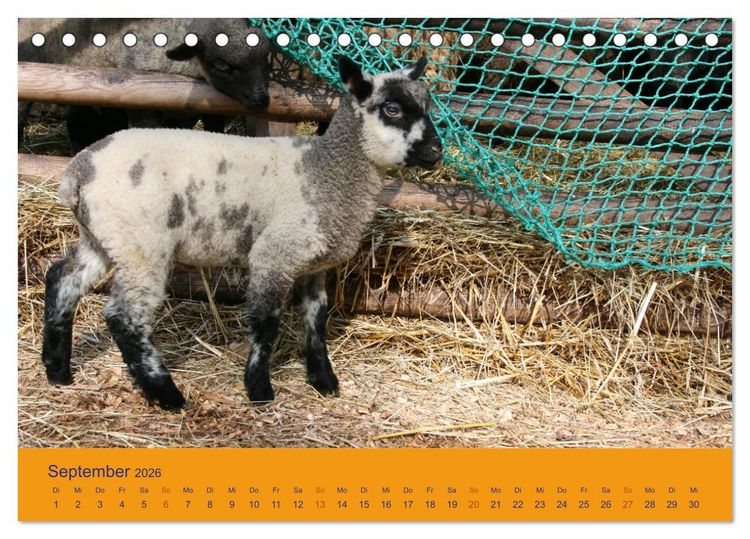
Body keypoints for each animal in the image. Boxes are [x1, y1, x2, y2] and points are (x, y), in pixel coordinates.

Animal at [42, 55, 443, 410]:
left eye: (425, 105)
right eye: (392, 109)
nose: (437, 151)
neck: (326, 170)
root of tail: (79, 171)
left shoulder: (313, 263)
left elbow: (316, 318)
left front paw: (323, 379)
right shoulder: (274, 254)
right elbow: (267, 323)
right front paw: (259, 388)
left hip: (104, 237)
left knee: (62, 279)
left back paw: (57, 370)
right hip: (140, 245)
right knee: (124, 317)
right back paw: (166, 394)